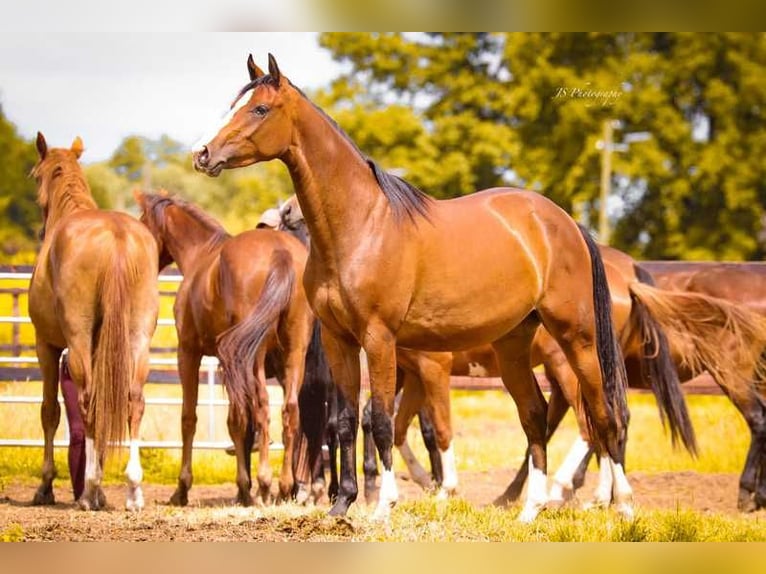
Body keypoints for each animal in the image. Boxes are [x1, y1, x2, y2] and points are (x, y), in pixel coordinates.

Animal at [28, 135, 159, 512]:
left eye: (34, 176)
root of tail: (115, 235)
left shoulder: (46, 345)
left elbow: (50, 412)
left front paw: (46, 487)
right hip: (137, 338)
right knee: (133, 400)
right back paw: (133, 491)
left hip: (78, 340)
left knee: (86, 403)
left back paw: (88, 490)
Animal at [136, 191, 316, 506]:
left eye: (143, 221)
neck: (201, 255)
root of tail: (280, 253)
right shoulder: (230, 362)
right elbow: (237, 421)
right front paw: (243, 490)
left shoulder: (189, 353)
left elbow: (191, 417)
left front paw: (182, 488)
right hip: (293, 354)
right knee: (290, 410)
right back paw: (284, 487)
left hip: (253, 357)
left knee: (263, 406)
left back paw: (265, 483)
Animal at [194, 56, 636, 524]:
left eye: (259, 109)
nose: (202, 154)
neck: (361, 226)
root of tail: (564, 222)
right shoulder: (339, 340)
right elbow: (347, 419)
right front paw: (342, 503)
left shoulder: (380, 340)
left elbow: (382, 420)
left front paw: (384, 505)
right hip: (513, 345)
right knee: (534, 417)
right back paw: (530, 510)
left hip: (577, 341)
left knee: (604, 416)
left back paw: (621, 506)